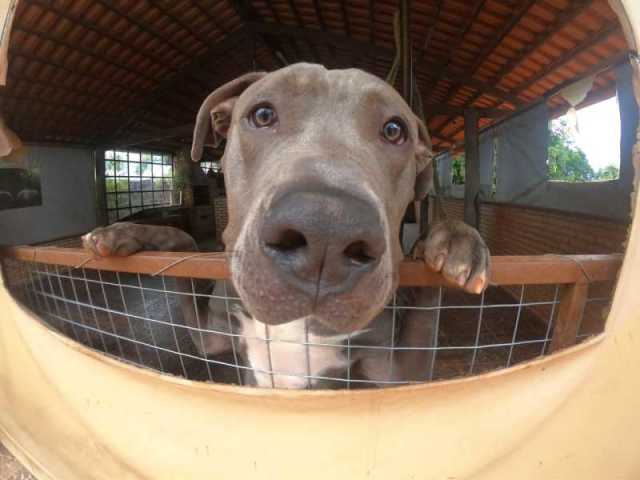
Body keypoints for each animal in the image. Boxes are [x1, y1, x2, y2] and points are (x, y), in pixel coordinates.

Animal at [81, 63, 490, 388]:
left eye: (394, 130)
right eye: (262, 115)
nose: (327, 230)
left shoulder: (397, 371)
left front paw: (454, 240)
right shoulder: (211, 335)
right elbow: (185, 242)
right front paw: (126, 232)